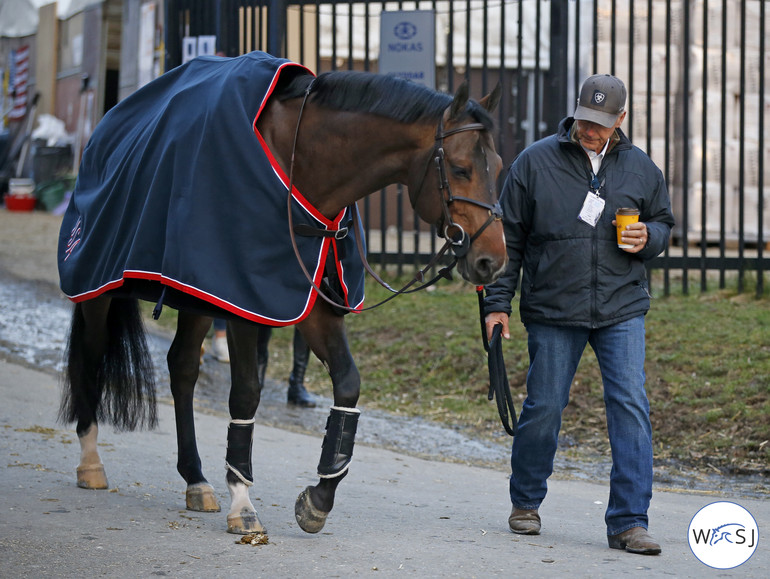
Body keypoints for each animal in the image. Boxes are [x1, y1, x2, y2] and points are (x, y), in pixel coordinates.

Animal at [57, 52, 508, 536]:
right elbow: (246, 394)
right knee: (91, 353)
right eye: (460, 168)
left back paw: (195, 479)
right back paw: (90, 460)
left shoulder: (307, 302)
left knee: (182, 369)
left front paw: (319, 498)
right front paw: (243, 502)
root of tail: (106, 126)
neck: (302, 165)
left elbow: (348, 386)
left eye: (500, 168)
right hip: (101, 290)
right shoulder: (243, 304)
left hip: (196, 292)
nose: (492, 260)